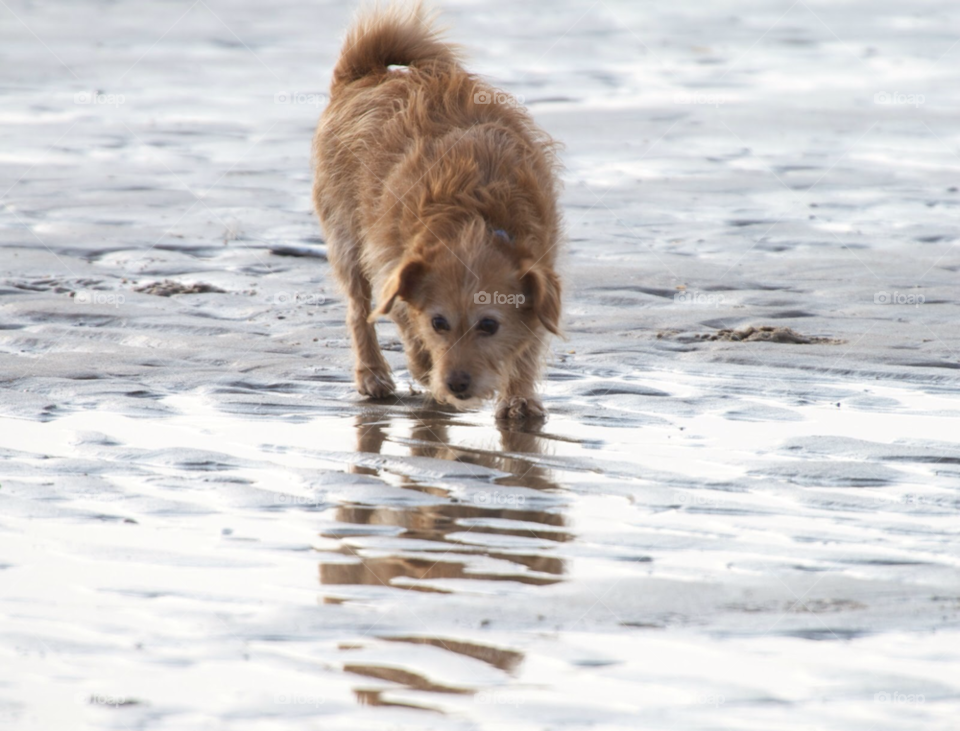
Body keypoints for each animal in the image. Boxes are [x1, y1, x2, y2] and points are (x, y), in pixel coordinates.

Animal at [312, 2, 560, 420]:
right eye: (439, 322)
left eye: (489, 325)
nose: (456, 384)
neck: (470, 221)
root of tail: (367, 74)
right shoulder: (390, 265)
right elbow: (402, 318)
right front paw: (424, 364)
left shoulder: (542, 264)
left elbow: (530, 342)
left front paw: (519, 397)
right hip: (347, 240)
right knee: (358, 309)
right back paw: (372, 373)